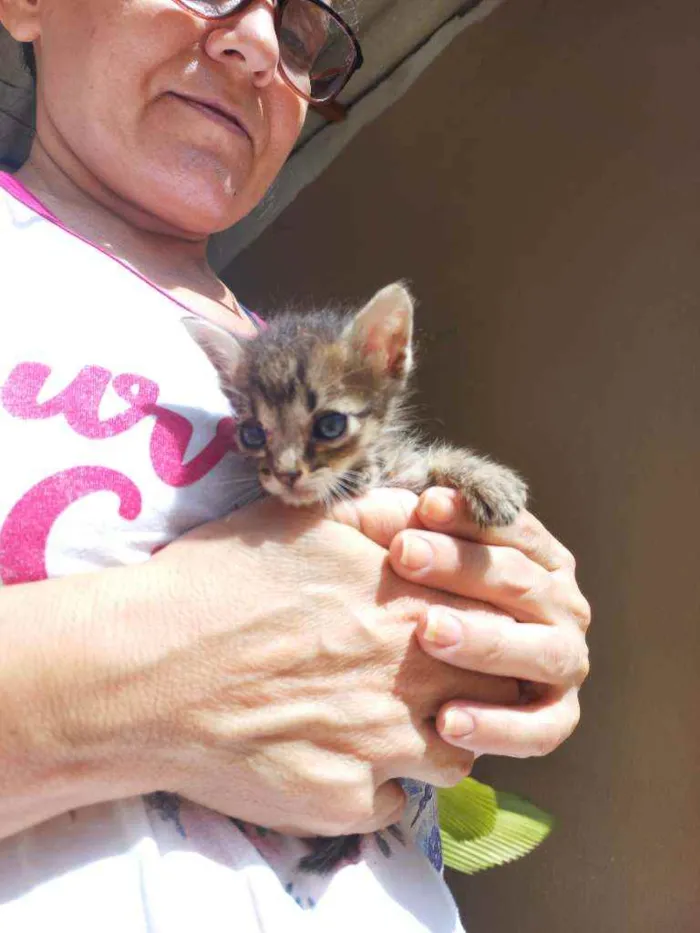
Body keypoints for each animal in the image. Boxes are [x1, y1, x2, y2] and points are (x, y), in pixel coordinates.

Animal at [186, 282, 524, 872]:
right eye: (252, 433)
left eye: (330, 425)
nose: (285, 473)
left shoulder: (406, 472)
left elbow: (429, 462)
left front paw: (486, 478)